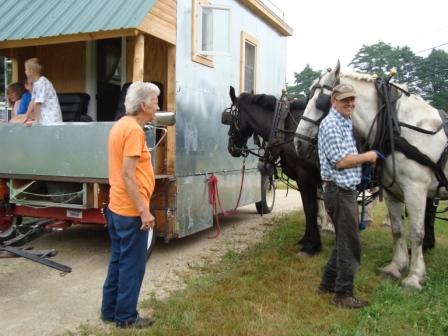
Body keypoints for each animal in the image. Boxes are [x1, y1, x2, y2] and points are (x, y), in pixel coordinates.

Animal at [294, 61, 444, 290]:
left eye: (320, 102)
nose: (298, 142)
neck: (397, 127)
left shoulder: (415, 189)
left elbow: (416, 233)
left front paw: (414, 276)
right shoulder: (393, 191)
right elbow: (397, 230)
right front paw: (395, 267)